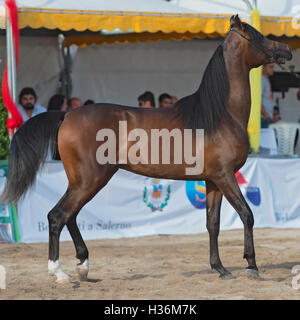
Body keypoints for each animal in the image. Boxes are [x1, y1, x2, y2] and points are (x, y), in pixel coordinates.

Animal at [1, 16, 292, 284]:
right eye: (257, 35)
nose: (287, 50)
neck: (220, 115)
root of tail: (68, 114)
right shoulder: (225, 176)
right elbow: (247, 214)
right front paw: (251, 265)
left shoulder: (213, 181)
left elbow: (213, 223)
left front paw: (220, 268)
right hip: (89, 180)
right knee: (58, 216)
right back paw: (60, 273)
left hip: (85, 181)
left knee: (70, 216)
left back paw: (83, 265)